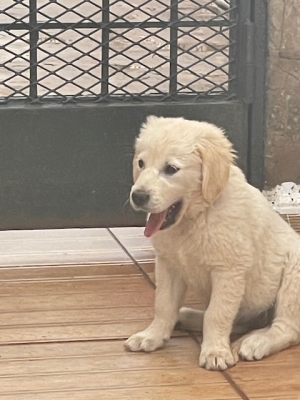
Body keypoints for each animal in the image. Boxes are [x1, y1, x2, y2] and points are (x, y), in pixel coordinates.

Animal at [124, 117, 300, 370]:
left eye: (171, 169)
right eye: (141, 163)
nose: (138, 196)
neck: (197, 216)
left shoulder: (228, 272)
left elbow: (217, 314)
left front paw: (215, 352)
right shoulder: (168, 264)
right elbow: (164, 304)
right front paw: (152, 335)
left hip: (294, 274)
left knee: (288, 328)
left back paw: (255, 342)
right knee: (241, 322)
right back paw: (187, 316)